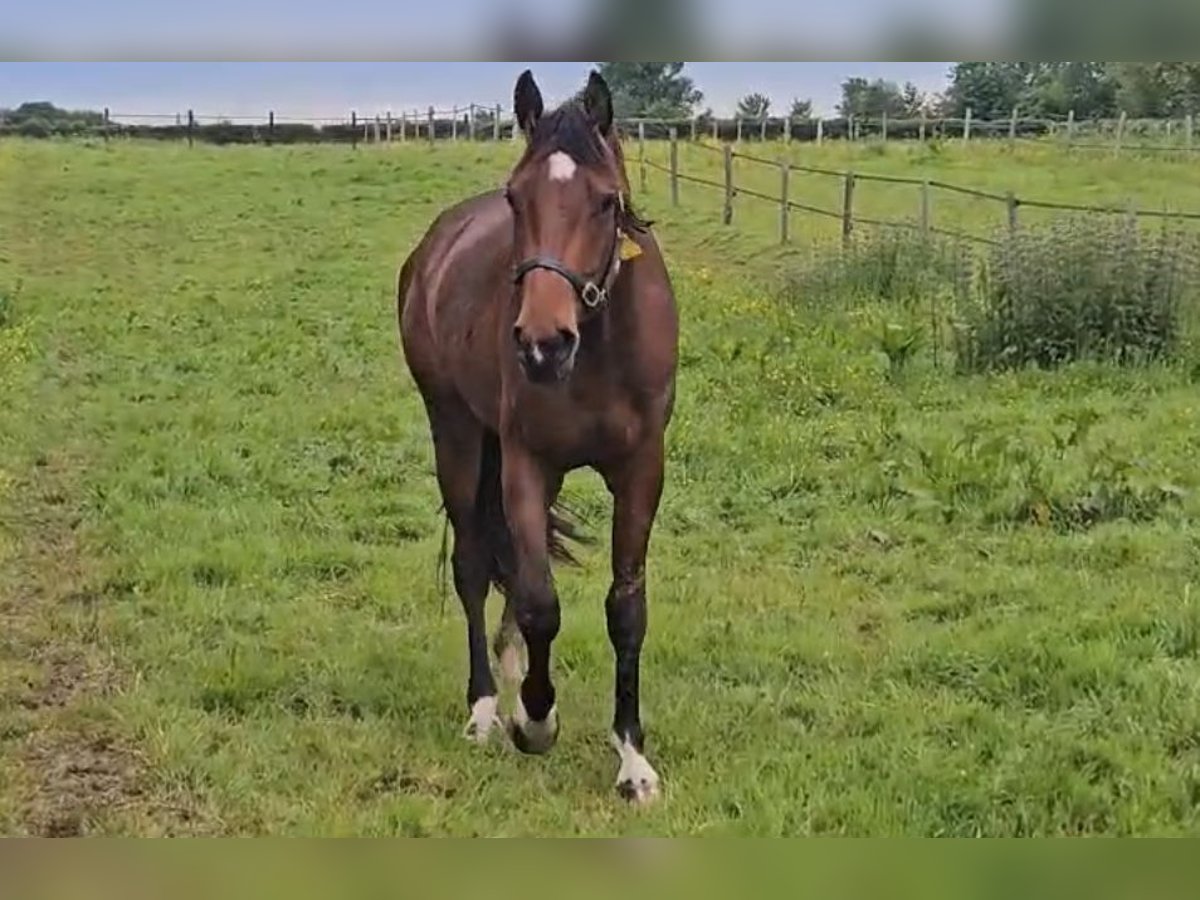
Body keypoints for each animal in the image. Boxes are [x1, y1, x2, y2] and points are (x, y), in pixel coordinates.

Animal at [398, 70, 681, 801]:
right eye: (515, 198)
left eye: (606, 202)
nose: (542, 344)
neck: (598, 356)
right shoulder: (527, 465)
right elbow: (539, 602)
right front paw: (535, 718)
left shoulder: (642, 470)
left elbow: (625, 608)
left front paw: (633, 760)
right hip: (456, 432)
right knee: (474, 566)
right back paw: (485, 707)